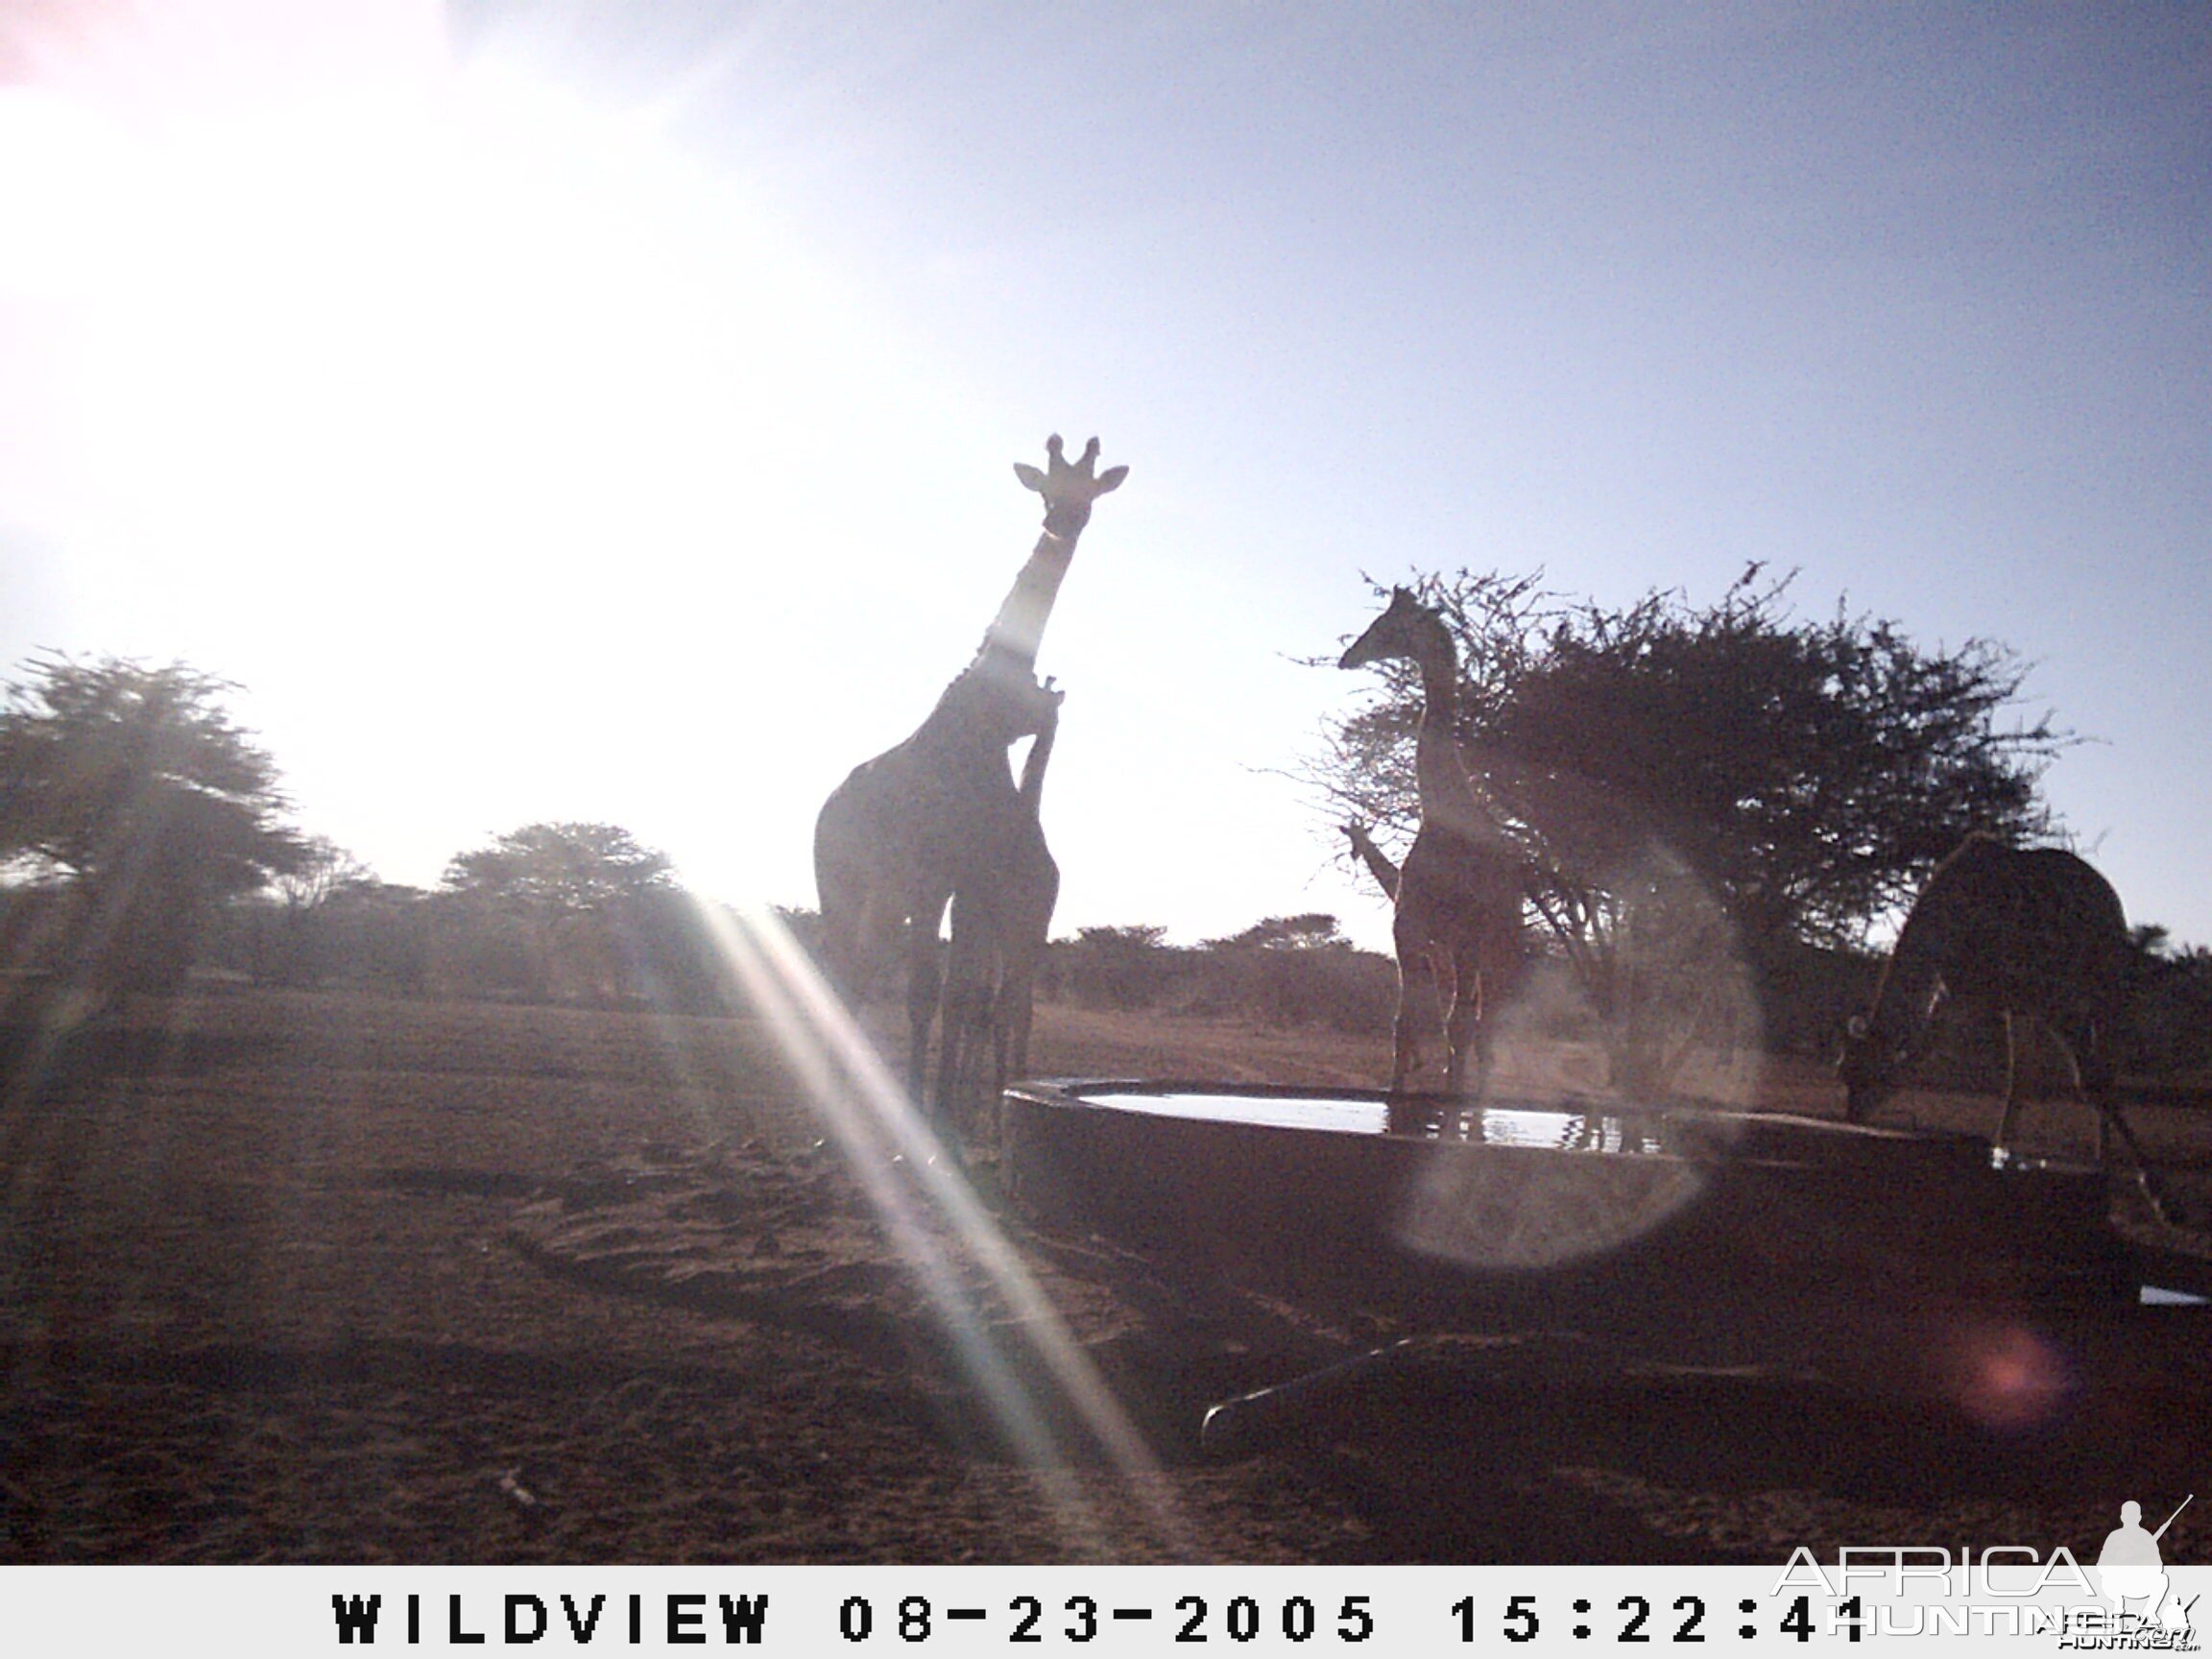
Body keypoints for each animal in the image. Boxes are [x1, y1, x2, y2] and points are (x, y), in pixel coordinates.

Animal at [813, 435, 1123, 1110]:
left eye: (1089, 495)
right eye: (1046, 489)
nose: (1062, 523)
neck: (977, 725)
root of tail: (828, 804)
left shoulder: (969, 880)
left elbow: (958, 997)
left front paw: (942, 1114)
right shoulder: (934, 875)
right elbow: (925, 994)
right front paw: (921, 1116)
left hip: (889, 897)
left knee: (864, 973)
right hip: (842, 883)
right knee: (845, 973)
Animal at [1335, 592, 1530, 1096]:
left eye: (1386, 628)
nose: (1348, 658)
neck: (1446, 824)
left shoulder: (1466, 938)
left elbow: (1457, 1026)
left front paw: (1450, 1095)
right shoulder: (1408, 930)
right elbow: (1406, 1022)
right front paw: (1397, 1087)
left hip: (1500, 949)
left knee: (1483, 1028)